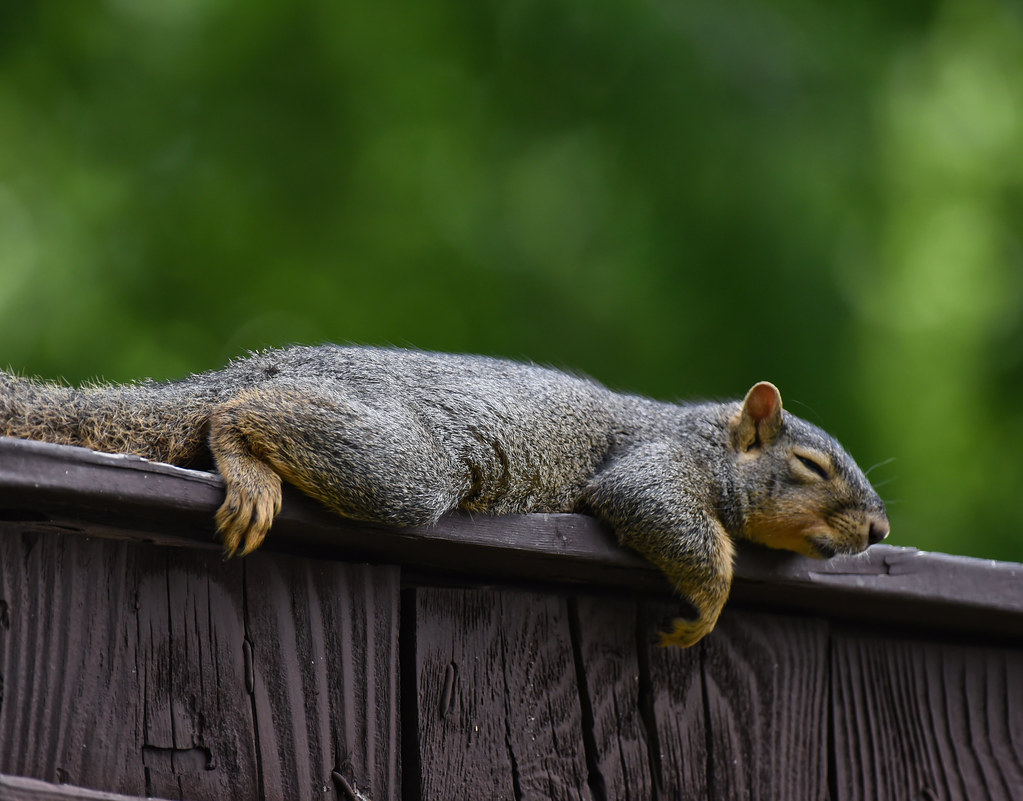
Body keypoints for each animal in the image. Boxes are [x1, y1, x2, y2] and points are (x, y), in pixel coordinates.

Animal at [0, 345, 889, 646]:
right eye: (811, 466)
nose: (879, 528)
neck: (703, 434)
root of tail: (265, 362)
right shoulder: (651, 461)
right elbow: (656, 507)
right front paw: (705, 606)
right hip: (401, 464)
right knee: (237, 415)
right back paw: (243, 453)